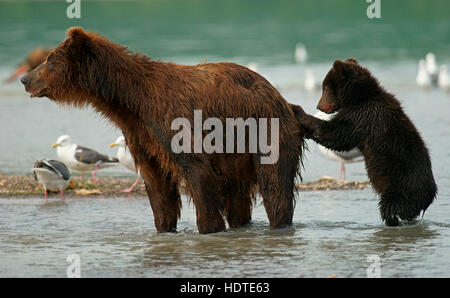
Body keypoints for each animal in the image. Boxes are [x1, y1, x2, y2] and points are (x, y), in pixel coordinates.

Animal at [20, 27, 302, 233]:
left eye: (50, 60)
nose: (25, 79)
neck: (130, 102)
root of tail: (282, 99)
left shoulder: (174, 123)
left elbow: (198, 174)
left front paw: (208, 229)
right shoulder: (142, 136)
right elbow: (158, 189)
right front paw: (164, 228)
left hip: (265, 131)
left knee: (275, 186)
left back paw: (279, 223)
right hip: (237, 155)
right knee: (239, 199)